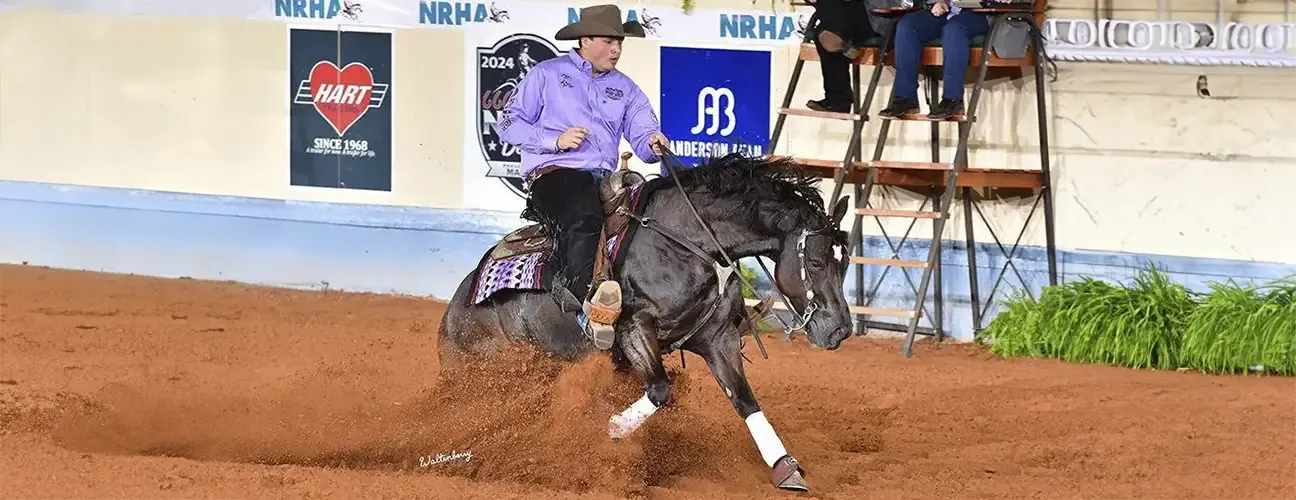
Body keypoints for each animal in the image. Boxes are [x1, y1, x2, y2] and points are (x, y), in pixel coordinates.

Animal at [438, 152, 855, 492]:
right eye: (815, 261)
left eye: (845, 261)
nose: (840, 329)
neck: (690, 240)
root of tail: (455, 310)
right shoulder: (635, 328)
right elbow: (659, 389)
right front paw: (613, 429)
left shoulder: (718, 339)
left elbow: (745, 401)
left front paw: (785, 467)